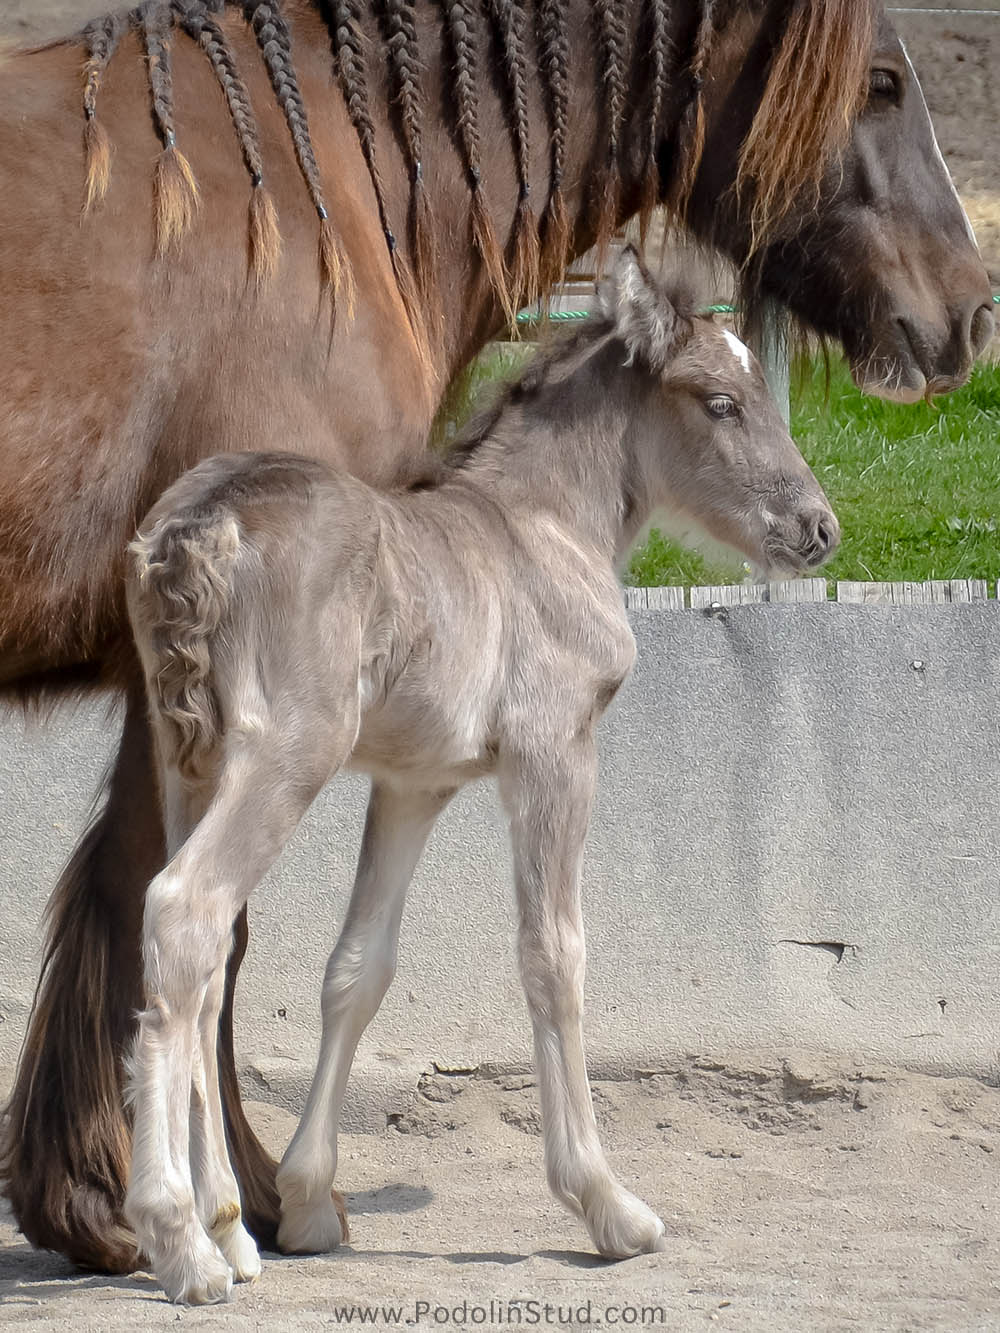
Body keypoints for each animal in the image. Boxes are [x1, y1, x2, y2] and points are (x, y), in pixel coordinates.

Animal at [127, 250, 837, 1301]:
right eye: (720, 402)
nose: (818, 528)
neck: (539, 528)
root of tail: (198, 526)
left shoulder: (414, 783)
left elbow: (358, 967)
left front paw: (305, 1200)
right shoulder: (555, 751)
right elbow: (555, 954)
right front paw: (607, 1203)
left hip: (190, 761)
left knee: (207, 961)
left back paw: (230, 1231)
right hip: (286, 754)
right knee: (183, 909)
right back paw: (178, 1239)